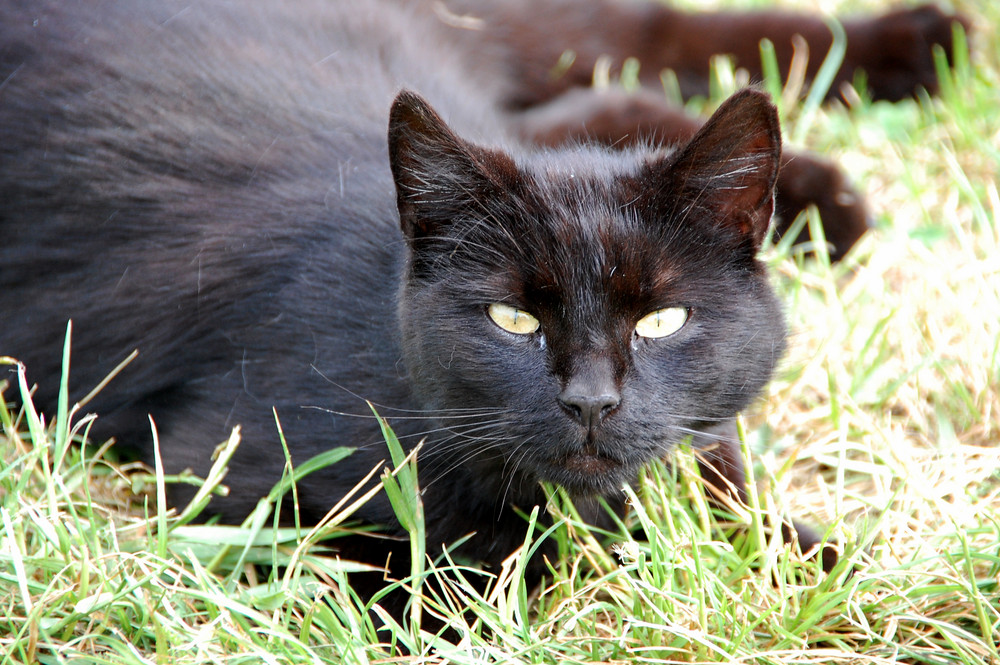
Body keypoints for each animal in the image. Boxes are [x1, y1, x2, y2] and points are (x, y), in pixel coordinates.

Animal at [0, 0, 964, 604]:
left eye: (663, 320)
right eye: (513, 320)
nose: (591, 402)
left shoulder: (695, 446)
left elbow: (752, 522)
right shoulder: (227, 483)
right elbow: (427, 577)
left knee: (634, 48)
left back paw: (922, 52)